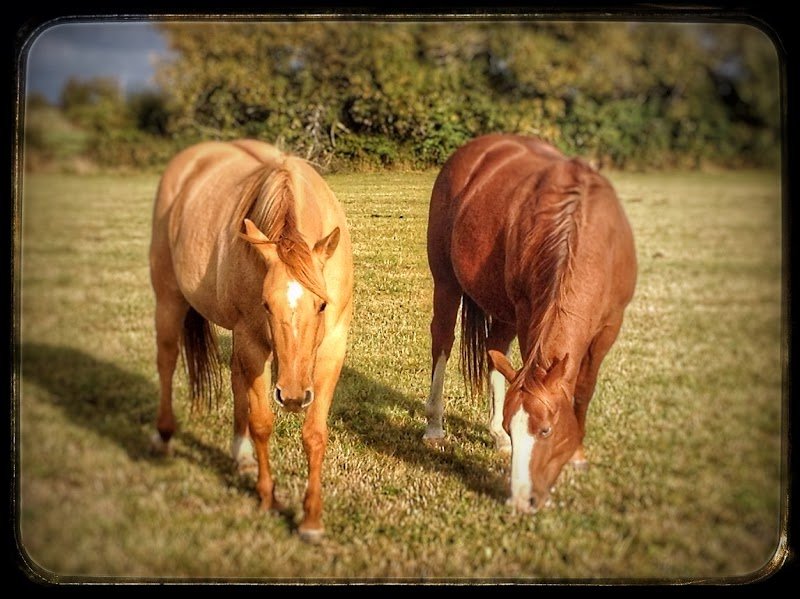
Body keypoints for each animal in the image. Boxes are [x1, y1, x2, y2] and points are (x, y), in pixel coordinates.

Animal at [149, 139, 353, 541]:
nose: (293, 396)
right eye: (266, 304)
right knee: (166, 361)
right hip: (169, 300)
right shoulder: (253, 343)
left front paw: (311, 520)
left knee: (234, 378)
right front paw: (268, 498)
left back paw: (239, 455)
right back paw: (165, 437)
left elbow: (315, 433)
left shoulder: (331, 349)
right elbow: (262, 423)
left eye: (322, 304)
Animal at [423, 133, 636, 513]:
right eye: (516, 428)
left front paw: (578, 455)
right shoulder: (528, 313)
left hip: (503, 308)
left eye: (546, 430)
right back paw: (434, 427)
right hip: (447, 284)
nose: (523, 500)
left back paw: (492, 435)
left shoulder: (609, 327)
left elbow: (582, 390)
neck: (587, 232)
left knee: (494, 351)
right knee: (442, 343)